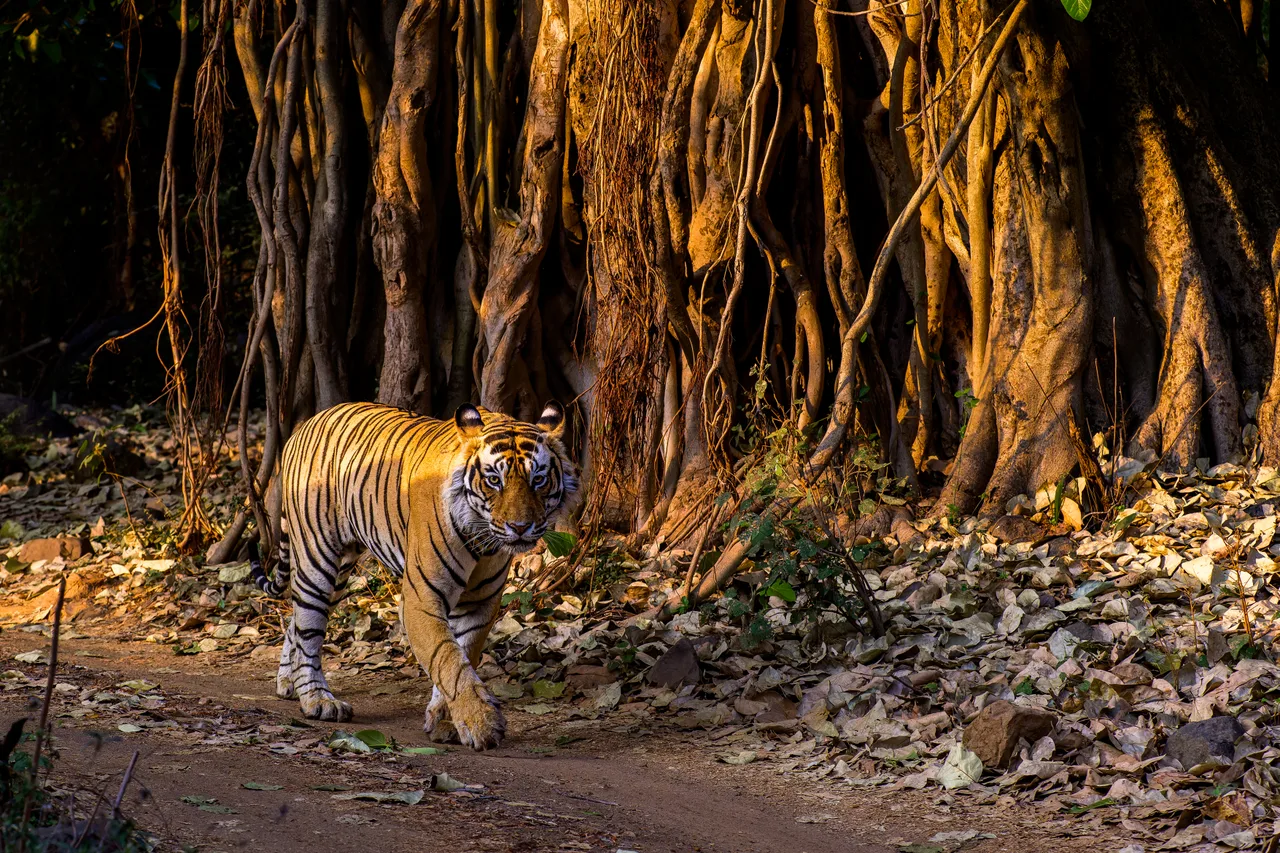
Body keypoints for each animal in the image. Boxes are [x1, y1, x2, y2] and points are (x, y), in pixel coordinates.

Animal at [247, 400, 579, 750]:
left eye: (538, 480)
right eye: (494, 480)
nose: (520, 527)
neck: (482, 538)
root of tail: (303, 426)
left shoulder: (480, 603)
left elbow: (462, 654)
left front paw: (444, 720)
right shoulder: (421, 598)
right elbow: (447, 659)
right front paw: (481, 724)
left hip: (339, 571)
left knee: (297, 621)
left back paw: (288, 682)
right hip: (317, 557)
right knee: (309, 629)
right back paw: (317, 700)